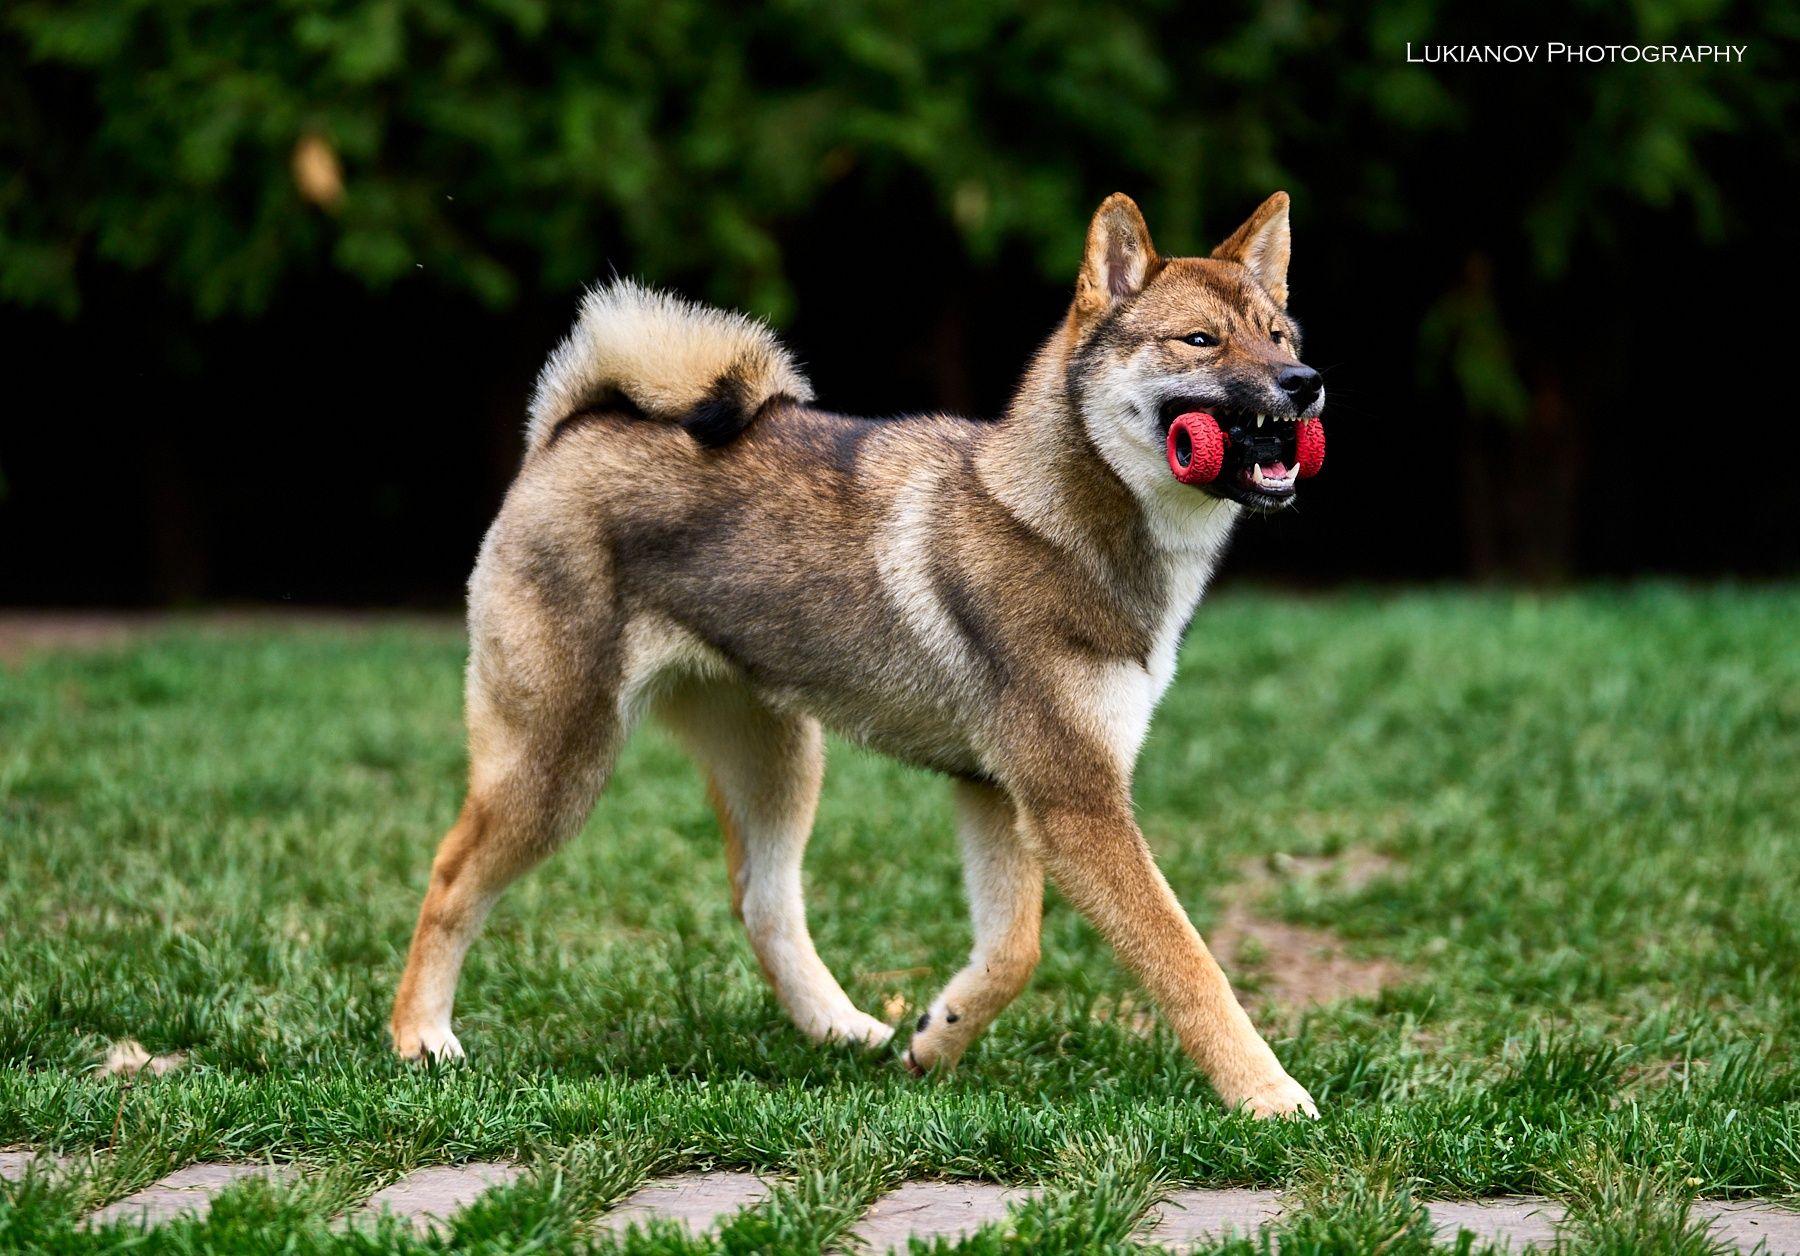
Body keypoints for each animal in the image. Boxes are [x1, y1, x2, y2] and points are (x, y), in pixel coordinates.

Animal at [390, 193, 1324, 1115]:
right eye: (1199, 340)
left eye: (1280, 336)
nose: (1307, 384)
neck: (1056, 520)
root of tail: (568, 433)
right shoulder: (1075, 804)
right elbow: (1188, 964)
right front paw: (1268, 1095)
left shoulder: (1002, 793)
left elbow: (1015, 951)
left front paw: (939, 1035)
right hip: (557, 765)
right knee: (449, 877)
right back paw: (420, 1039)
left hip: (779, 761)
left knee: (762, 902)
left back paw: (842, 1030)